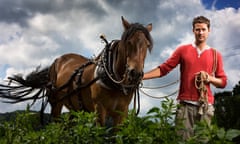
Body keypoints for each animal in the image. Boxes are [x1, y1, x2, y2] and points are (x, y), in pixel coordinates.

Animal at [0, 16, 153, 125]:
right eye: (128, 42)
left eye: (147, 45)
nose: (135, 73)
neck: (113, 80)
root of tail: (56, 61)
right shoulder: (99, 110)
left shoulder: (122, 112)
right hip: (56, 103)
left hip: (74, 108)